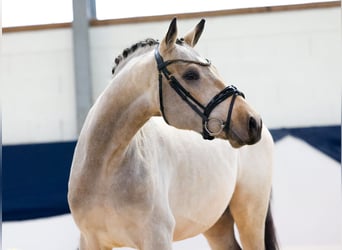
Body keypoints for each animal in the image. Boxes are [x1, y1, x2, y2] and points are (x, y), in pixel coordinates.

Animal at [67, 18, 278, 250]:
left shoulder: (157, 237)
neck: (105, 167)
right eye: (191, 75)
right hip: (216, 224)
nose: (252, 121)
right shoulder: (90, 241)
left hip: (250, 217)